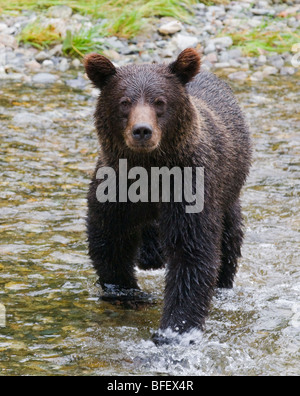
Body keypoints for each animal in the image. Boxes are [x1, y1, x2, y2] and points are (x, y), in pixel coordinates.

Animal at [83, 47, 252, 344]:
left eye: (159, 101)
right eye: (124, 102)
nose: (142, 130)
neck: (150, 170)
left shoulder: (190, 186)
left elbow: (192, 253)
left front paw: (174, 330)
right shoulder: (116, 187)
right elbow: (110, 239)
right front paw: (128, 294)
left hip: (228, 189)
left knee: (229, 238)